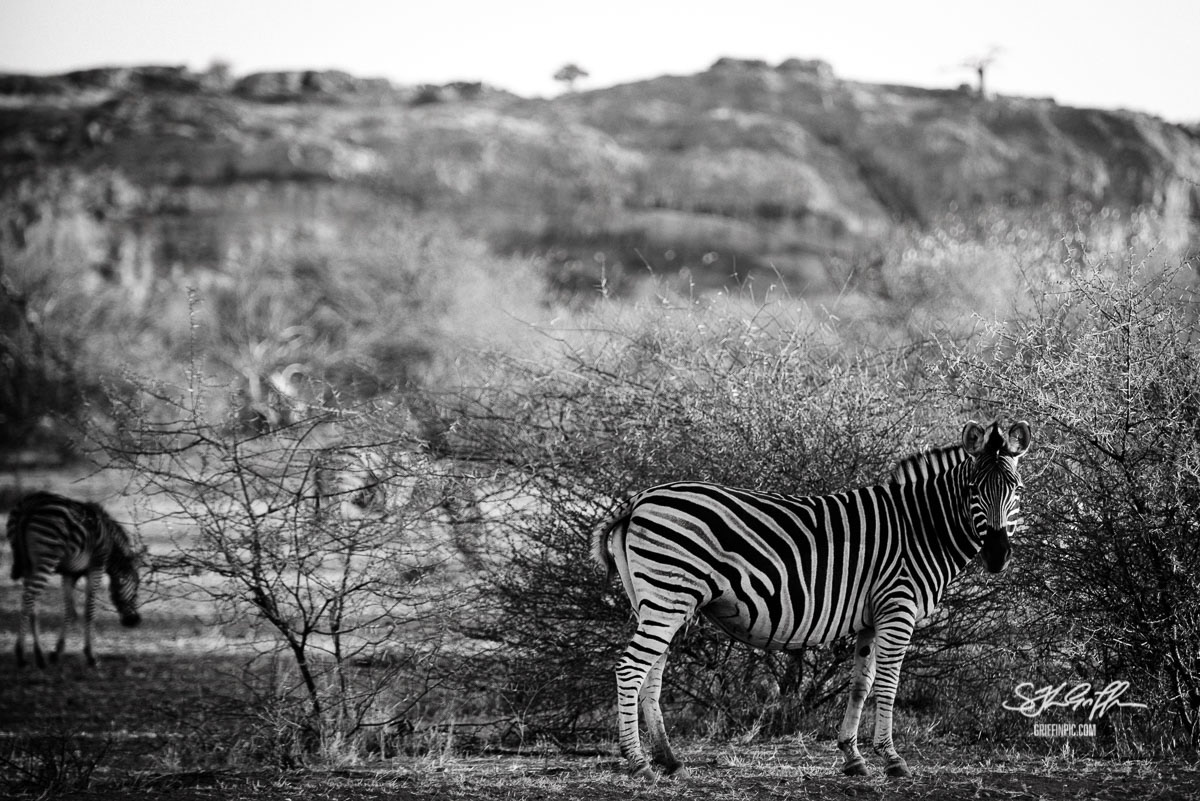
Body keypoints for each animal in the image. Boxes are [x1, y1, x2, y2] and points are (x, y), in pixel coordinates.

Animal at [6, 491, 143, 668]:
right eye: (137, 586)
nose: (134, 621)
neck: (110, 543)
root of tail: (30, 505)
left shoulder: (70, 573)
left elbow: (70, 610)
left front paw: (57, 652)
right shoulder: (96, 567)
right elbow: (89, 610)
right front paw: (91, 655)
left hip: (29, 565)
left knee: (32, 604)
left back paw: (39, 656)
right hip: (47, 557)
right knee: (28, 598)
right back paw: (21, 654)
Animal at [592, 420, 1030, 781]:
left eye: (1015, 489)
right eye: (973, 490)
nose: (997, 556)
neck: (921, 527)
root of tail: (640, 499)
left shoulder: (873, 617)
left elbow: (861, 684)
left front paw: (853, 757)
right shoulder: (898, 607)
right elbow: (888, 684)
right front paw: (892, 759)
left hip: (660, 601)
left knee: (651, 675)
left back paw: (669, 760)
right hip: (668, 595)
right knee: (630, 669)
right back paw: (639, 764)